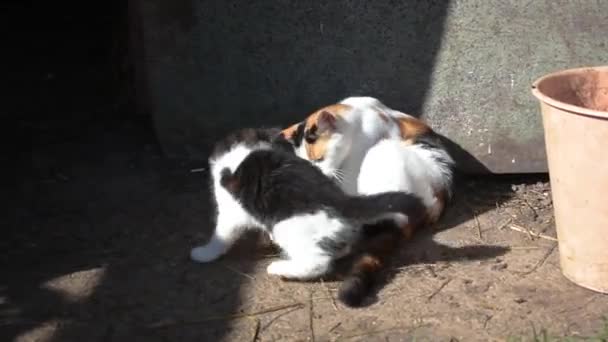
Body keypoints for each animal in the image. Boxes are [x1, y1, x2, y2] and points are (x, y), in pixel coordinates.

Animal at [190, 128, 422, 308]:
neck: (251, 147)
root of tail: (342, 201)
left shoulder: (231, 213)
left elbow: (220, 237)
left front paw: (203, 253)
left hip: (287, 227)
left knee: (317, 263)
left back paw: (280, 268)